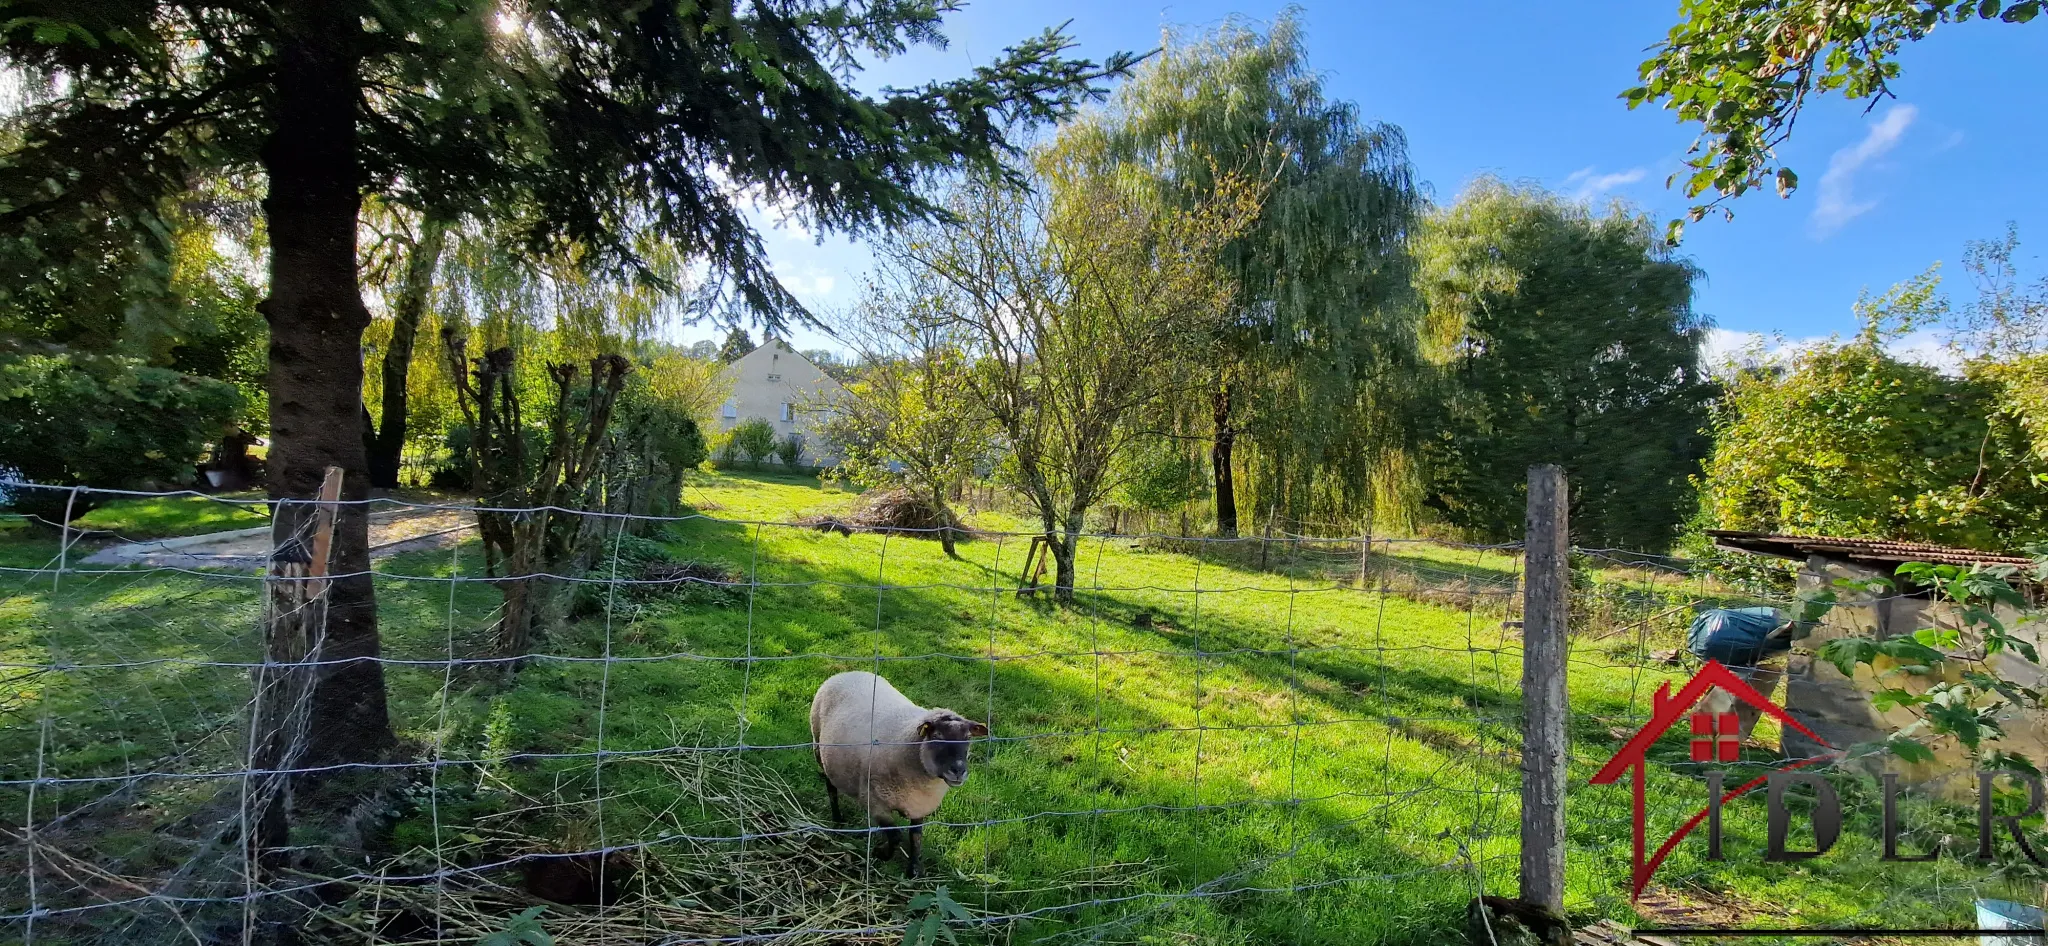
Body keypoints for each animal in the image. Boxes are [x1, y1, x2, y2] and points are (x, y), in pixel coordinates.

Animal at [802, 667, 987, 876]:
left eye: (968, 737)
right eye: (937, 736)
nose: (958, 770)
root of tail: (848, 672)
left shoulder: (918, 804)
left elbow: (916, 838)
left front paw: (913, 870)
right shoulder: (875, 802)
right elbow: (896, 836)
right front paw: (881, 853)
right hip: (819, 748)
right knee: (830, 787)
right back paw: (837, 820)